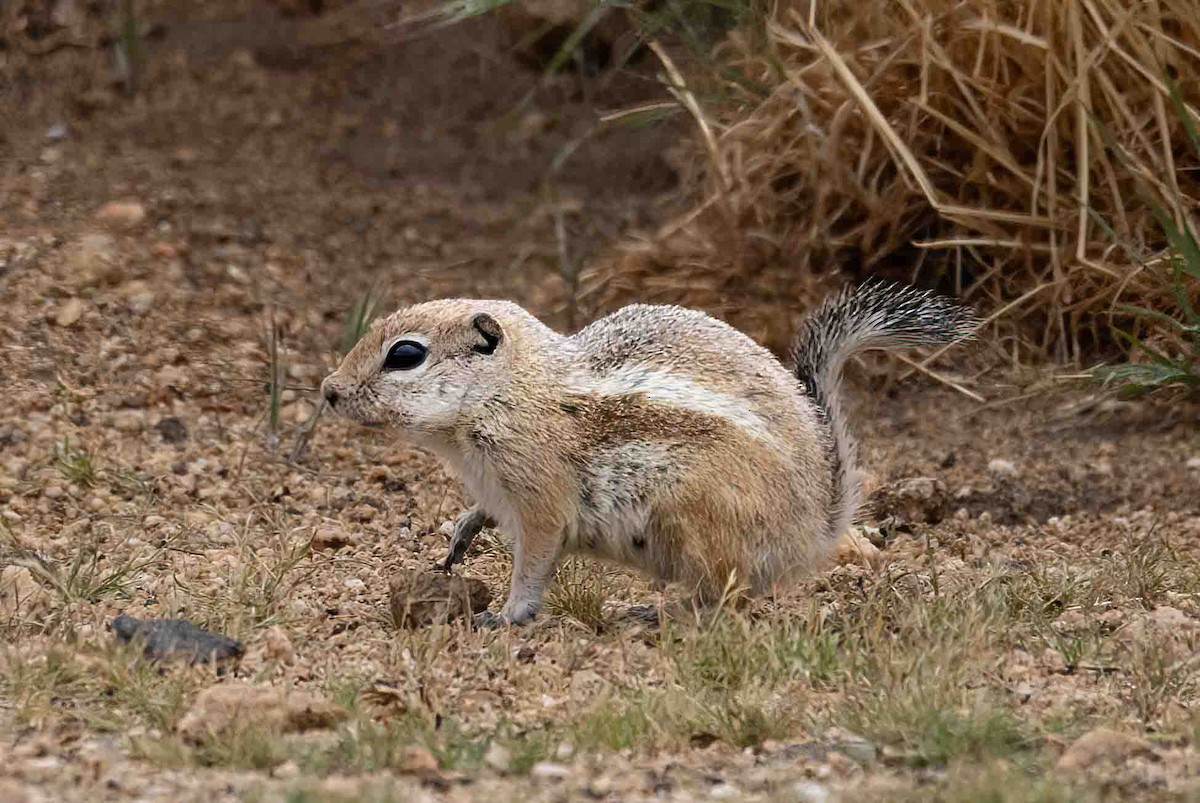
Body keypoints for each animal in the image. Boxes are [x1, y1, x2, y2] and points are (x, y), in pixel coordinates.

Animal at [321, 281, 978, 626]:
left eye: (405, 355)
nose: (328, 390)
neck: (515, 388)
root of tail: (818, 525)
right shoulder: (496, 489)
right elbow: (480, 515)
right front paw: (459, 537)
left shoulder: (539, 499)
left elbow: (533, 563)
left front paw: (504, 614)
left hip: (694, 517)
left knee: (725, 595)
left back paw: (652, 613)